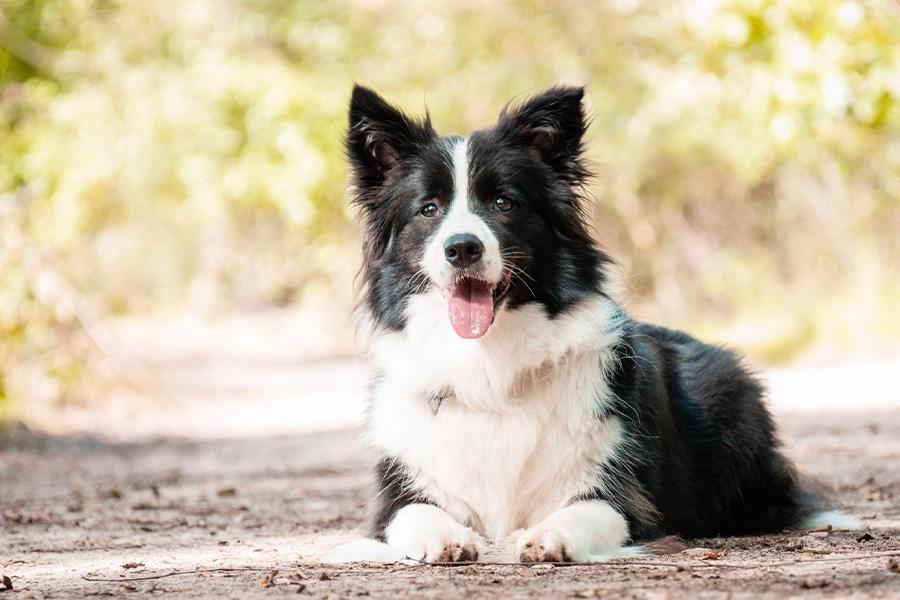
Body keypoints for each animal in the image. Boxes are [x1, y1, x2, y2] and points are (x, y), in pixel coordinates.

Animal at [340, 83, 856, 564]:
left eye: (504, 203)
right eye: (428, 209)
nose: (462, 247)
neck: (489, 366)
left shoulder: (626, 493)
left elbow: (587, 511)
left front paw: (546, 536)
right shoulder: (398, 494)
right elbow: (413, 516)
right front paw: (447, 538)